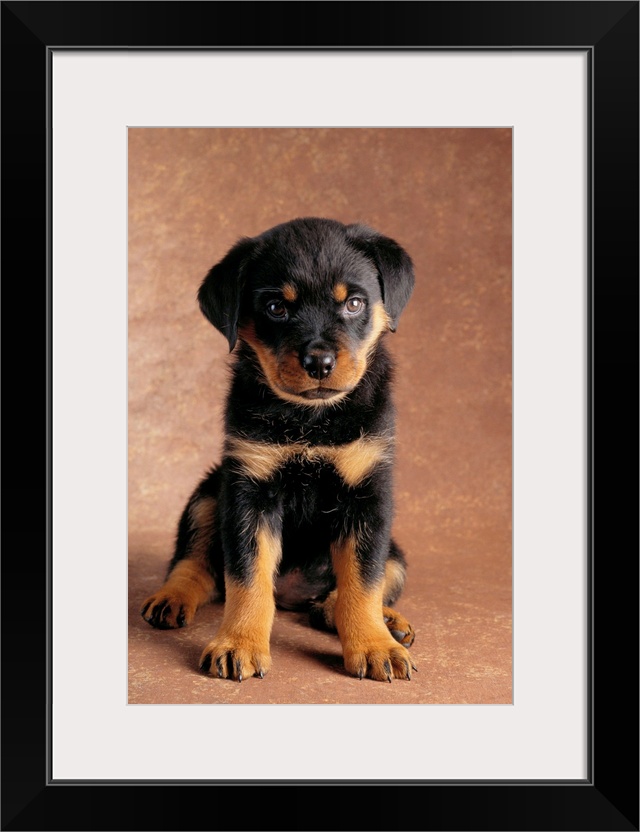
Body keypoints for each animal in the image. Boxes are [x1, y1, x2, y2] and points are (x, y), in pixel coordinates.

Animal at [141, 217, 416, 682]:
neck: (310, 418)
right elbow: (247, 577)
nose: (319, 362)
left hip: (395, 548)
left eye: (354, 303)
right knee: (196, 563)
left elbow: (363, 582)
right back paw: (171, 598)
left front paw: (375, 645)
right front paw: (239, 644)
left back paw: (376, 619)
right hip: (209, 492)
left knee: (377, 580)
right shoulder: (249, 488)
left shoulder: (367, 494)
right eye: (275, 308)